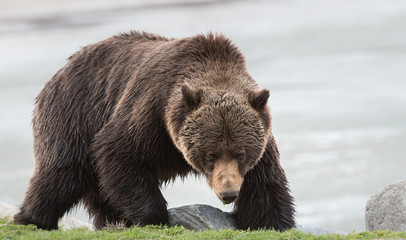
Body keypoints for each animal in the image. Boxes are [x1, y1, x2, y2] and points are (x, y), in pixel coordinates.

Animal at [13, 31, 294, 231]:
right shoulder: (150, 113)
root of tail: (59, 73)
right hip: (74, 114)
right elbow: (119, 152)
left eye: (240, 153)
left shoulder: (261, 136)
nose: (228, 193)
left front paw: (272, 222)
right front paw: (154, 217)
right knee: (59, 173)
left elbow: (265, 184)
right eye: (211, 154)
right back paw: (32, 218)